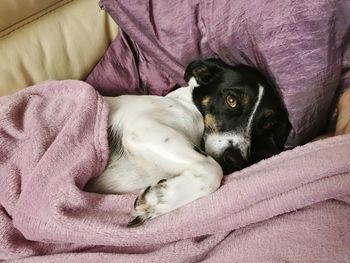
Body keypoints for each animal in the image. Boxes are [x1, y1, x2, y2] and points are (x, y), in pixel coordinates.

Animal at [86, 58, 292, 227]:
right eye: (231, 100)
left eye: (267, 123)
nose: (236, 161)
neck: (190, 107)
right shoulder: (143, 129)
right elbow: (212, 169)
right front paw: (159, 199)